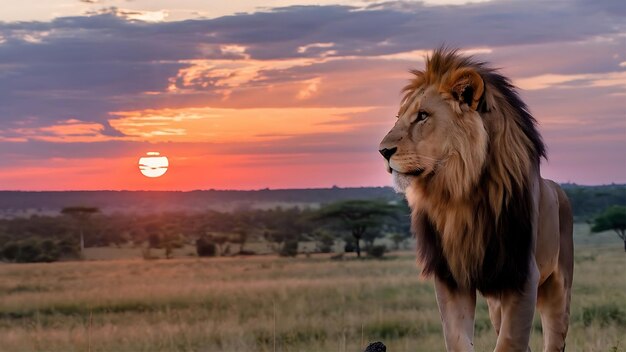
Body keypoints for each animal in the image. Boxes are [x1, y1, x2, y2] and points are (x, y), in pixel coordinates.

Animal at [378, 48, 572, 350]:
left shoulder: (522, 275)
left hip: (558, 288)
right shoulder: (450, 277)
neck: (461, 193)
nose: (383, 151)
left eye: (422, 115)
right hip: (496, 303)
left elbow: (510, 342)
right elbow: (458, 339)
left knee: (554, 337)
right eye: (399, 116)